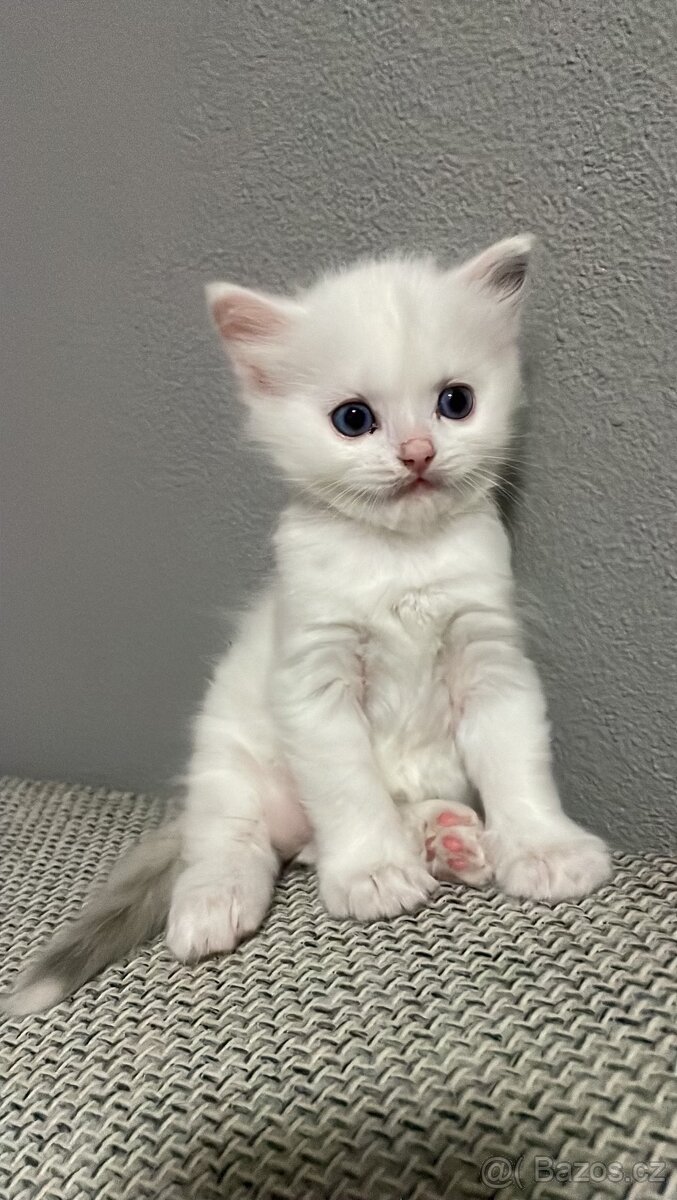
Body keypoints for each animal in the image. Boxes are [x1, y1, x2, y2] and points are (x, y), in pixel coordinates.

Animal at [2, 234, 609, 1012]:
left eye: (456, 402)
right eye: (353, 419)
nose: (417, 453)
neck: (399, 557)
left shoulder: (492, 659)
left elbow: (515, 764)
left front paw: (543, 848)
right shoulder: (313, 682)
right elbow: (348, 790)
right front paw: (374, 874)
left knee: (320, 839)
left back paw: (445, 838)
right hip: (229, 761)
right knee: (238, 843)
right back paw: (216, 901)